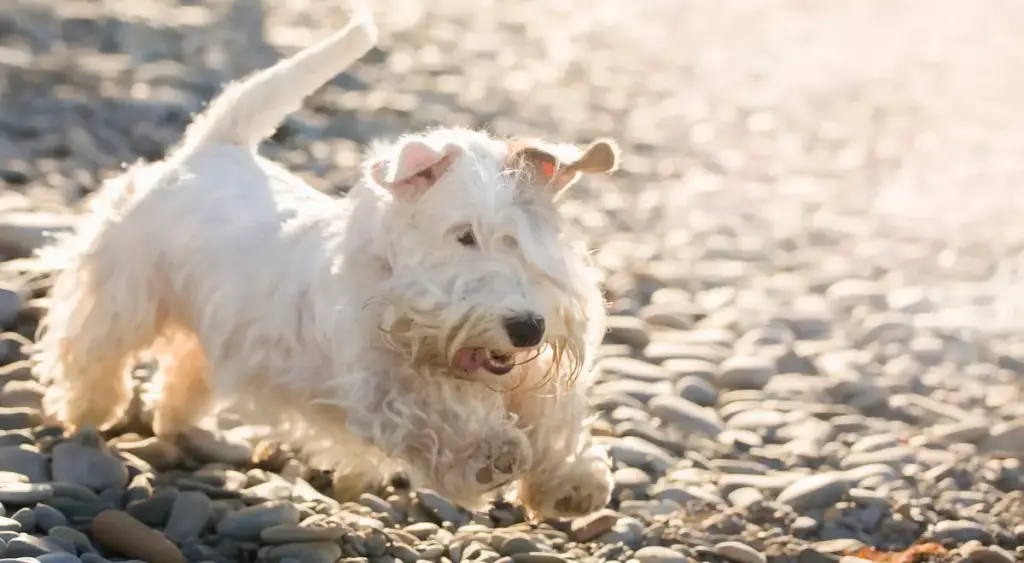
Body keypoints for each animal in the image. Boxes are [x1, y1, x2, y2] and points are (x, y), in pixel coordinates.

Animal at [32, 9, 618, 520]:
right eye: (465, 235)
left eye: (534, 241)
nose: (528, 327)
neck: (393, 285)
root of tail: (212, 148)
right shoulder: (378, 387)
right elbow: (430, 415)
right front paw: (487, 454)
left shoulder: (524, 374)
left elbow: (550, 417)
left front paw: (572, 482)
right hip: (122, 294)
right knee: (94, 351)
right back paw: (87, 414)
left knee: (187, 366)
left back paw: (176, 419)